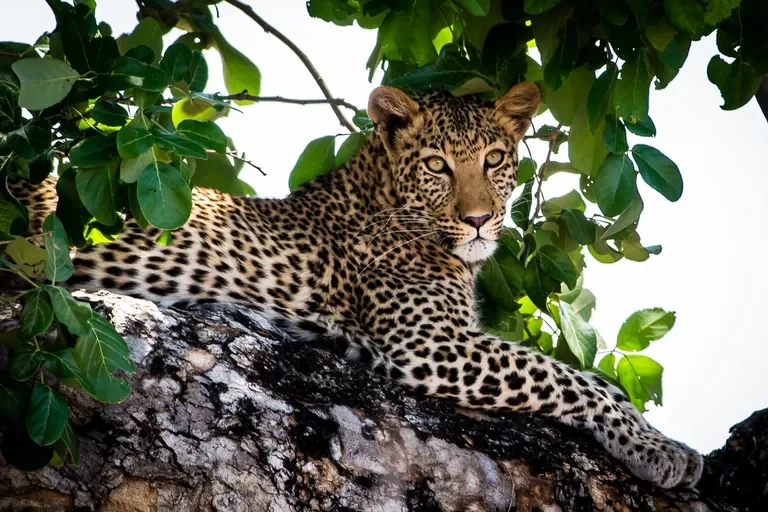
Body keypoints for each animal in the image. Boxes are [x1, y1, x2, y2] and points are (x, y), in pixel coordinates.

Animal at [10, 82, 703, 490]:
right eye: (437, 166)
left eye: (494, 161)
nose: (481, 219)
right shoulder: (431, 346)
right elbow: (575, 380)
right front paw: (660, 449)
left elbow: (578, 378)